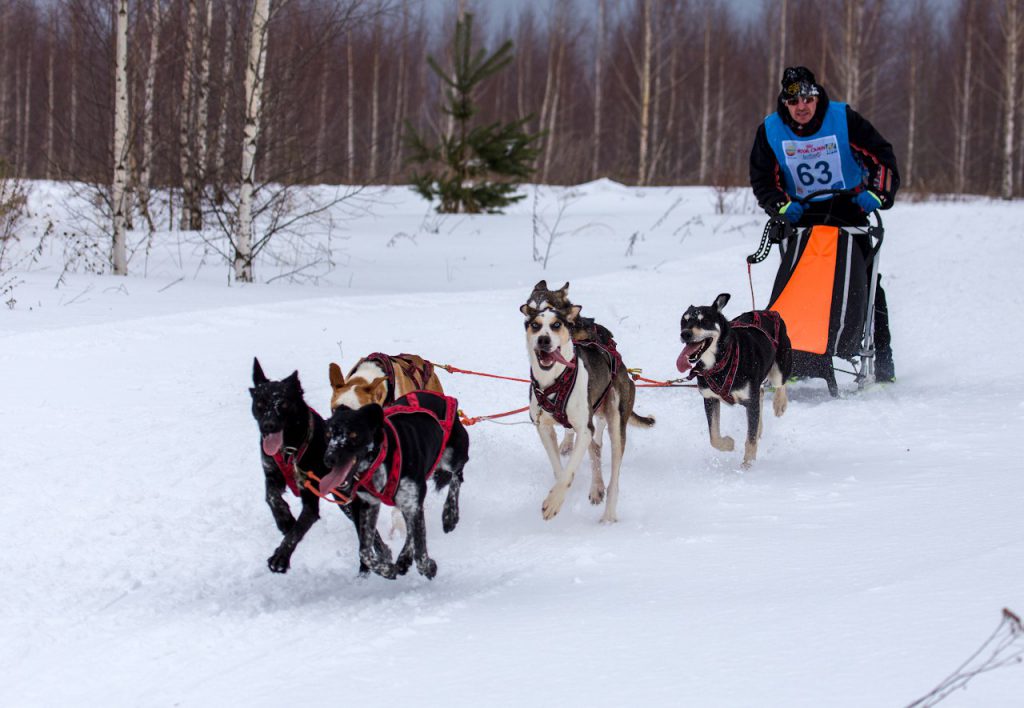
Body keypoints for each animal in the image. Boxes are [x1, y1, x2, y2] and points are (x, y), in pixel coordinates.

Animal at [249, 360, 389, 577]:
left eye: (284, 404)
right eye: (260, 404)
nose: (268, 425)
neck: (291, 450)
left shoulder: (310, 499)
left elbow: (297, 530)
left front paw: (281, 557)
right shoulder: (272, 474)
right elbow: (271, 497)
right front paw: (284, 518)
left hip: (347, 501)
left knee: (368, 533)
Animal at [317, 393, 468, 581]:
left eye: (353, 434)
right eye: (327, 434)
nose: (328, 459)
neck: (382, 458)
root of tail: (442, 396)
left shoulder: (412, 501)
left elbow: (420, 552)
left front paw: (428, 567)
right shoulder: (369, 504)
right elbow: (365, 552)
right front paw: (387, 569)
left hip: (452, 457)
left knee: (458, 476)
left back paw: (450, 514)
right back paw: (403, 558)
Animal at [520, 280, 655, 522]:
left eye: (556, 324)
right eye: (533, 323)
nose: (543, 339)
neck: (554, 381)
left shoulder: (585, 429)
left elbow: (571, 469)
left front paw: (553, 503)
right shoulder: (544, 428)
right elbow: (560, 470)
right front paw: (558, 492)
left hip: (615, 425)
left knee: (614, 478)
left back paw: (608, 515)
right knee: (596, 451)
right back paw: (596, 487)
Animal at [675, 295, 794, 467]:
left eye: (704, 321)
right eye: (683, 321)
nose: (685, 334)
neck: (721, 362)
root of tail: (770, 312)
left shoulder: (750, 401)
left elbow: (750, 440)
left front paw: (748, 466)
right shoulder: (710, 398)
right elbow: (714, 437)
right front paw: (728, 444)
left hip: (780, 367)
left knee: (780, 384)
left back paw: (779, 404)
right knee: (761, 393)